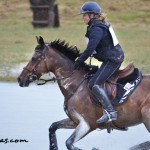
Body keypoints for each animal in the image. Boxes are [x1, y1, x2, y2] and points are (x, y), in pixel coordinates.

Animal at [17, 36, 150, 150]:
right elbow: (53, 127)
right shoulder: (75, 121)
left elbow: (69, 143)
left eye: (33, 58)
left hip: (146, 118)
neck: (76, 86)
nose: (20, 79)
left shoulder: (86, 125)